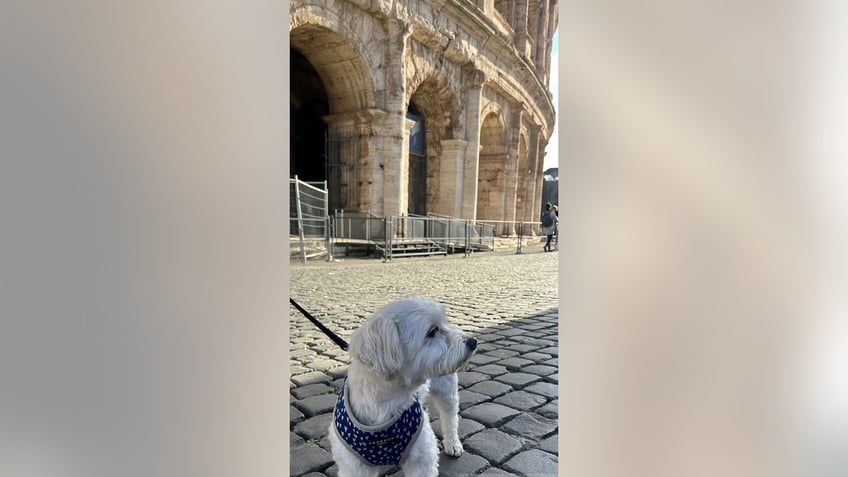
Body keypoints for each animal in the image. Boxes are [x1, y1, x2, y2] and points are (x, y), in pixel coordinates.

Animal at [328, 298, 476, 476]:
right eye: (432, 331)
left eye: (445, 323)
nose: (473, 341)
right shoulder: (354, 467)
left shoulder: (422, 458)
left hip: (446, 390)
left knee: (450, 417)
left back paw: (453, 444)